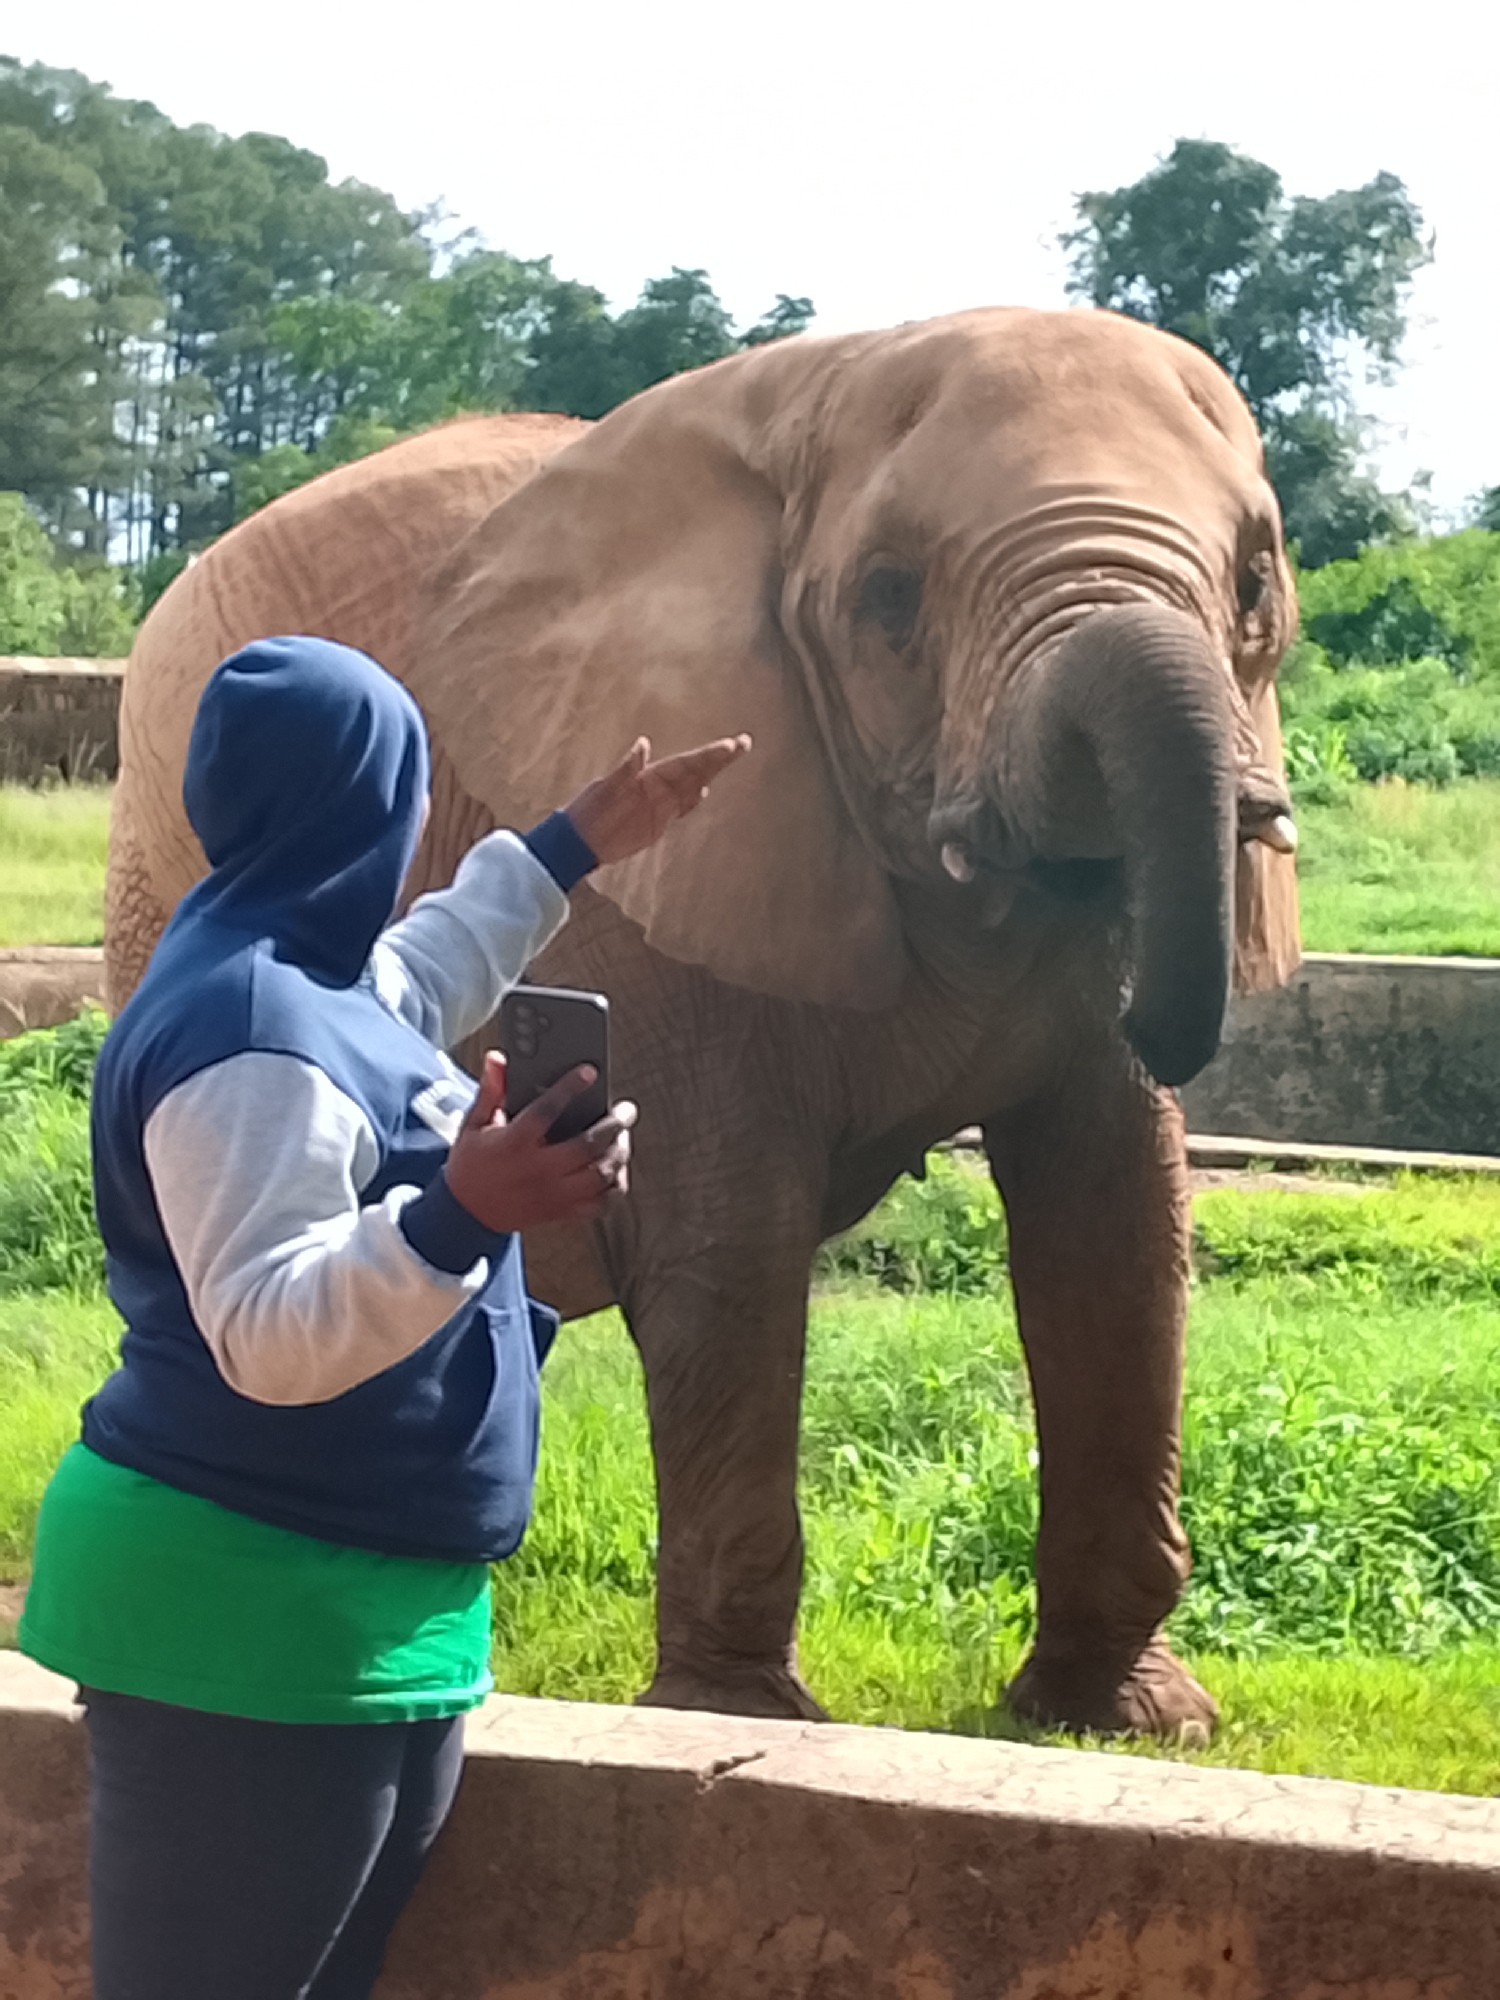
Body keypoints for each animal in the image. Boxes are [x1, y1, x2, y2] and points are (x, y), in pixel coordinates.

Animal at [106, 308, 1302, 1739]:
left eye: (1256, 589)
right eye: (889, 598)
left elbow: (1113, 1222)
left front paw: (1121, 1720)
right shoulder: (674, 914)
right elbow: (730, 1241)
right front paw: (737, 1718)